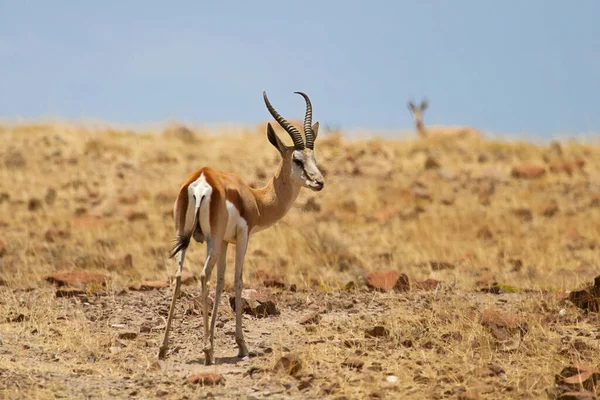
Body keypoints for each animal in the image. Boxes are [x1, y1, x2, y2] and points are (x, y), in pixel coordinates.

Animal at [159, 91, 326, 366]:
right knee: (203, 275)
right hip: (212, 241)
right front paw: (241, 346)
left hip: (186, 237)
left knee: (180, 276)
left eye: (314, 157)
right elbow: (237, 281)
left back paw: (163, 349)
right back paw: (207, 353)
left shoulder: (226, 242)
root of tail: (202, 181)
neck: (254, 198)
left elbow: (220, 282)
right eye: (297, 159)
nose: (319, 182)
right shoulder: (242, 238)